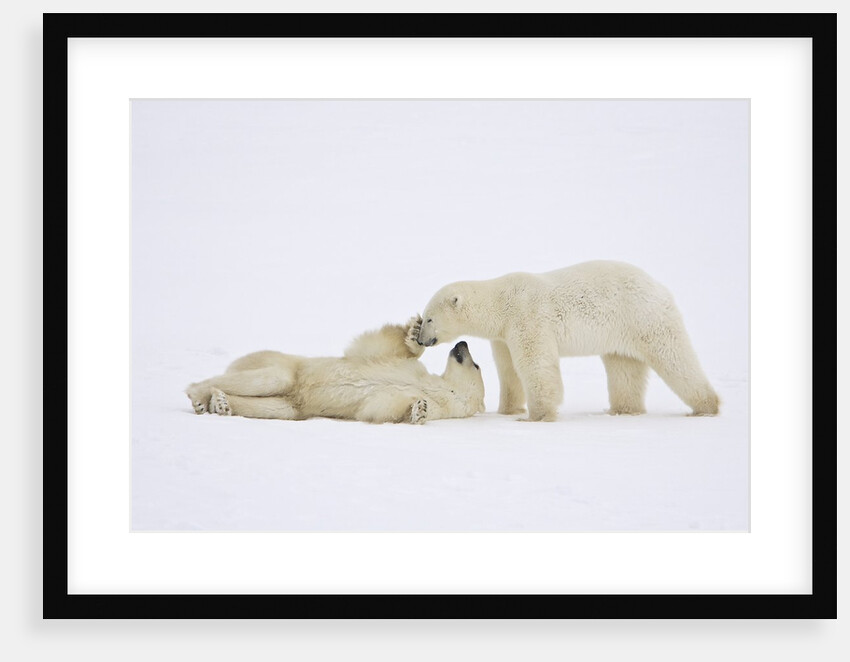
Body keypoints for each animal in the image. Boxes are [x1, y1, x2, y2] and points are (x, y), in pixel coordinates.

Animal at [185, 316, 485, 424]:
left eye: (477, 364)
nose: (462, 342)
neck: (438, 389)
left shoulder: (433, 404)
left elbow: (380, 407)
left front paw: (417, 411)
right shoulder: (410, 370)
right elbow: (382, 349)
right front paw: (413, 332)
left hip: (295, 405)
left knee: (274, 406)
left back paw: (220, 403)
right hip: (287, 364)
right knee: (271, 378)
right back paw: (200, 395)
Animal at [416, 260, 719, 422]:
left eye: (429, 318)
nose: (420, 340)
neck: (501, 302)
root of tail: (660, 287)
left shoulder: (527, 317)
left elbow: (535, 364)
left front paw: (536, 416)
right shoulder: (503, 333)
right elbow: (508, 369)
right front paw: (508, 410)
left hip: (643, 316)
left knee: (674, 356)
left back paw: (705, 407)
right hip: (621, 332)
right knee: (624, 368)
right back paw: (621, 410)